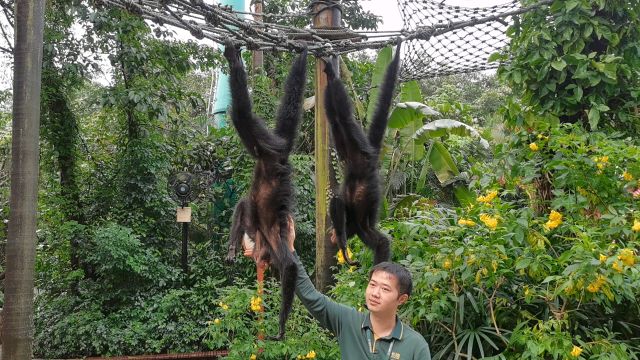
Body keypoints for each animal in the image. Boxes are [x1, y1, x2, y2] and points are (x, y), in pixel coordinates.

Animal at [222, 39, 308, 340]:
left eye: (262, 261)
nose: (260, 261)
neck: (261, 238)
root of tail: (279, 154)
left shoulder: (263, 231)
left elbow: (242, 205)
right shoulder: (268, 234)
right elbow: (291, 266)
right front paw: (281, 328)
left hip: (265, 150)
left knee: (242, 121)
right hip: (269, 147)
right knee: (243, 115)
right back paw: (234, 62)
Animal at [324, 43, 400, 268]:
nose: (331, 235)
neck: (351, 226)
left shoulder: (362, 229)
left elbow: (382, 243)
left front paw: (342, 244)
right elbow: (338, 203)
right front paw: (341, 243)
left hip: (359, 150)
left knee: (343, 119)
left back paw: (332, 75)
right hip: (353, 151)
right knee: (339, 119)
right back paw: (332, 73)